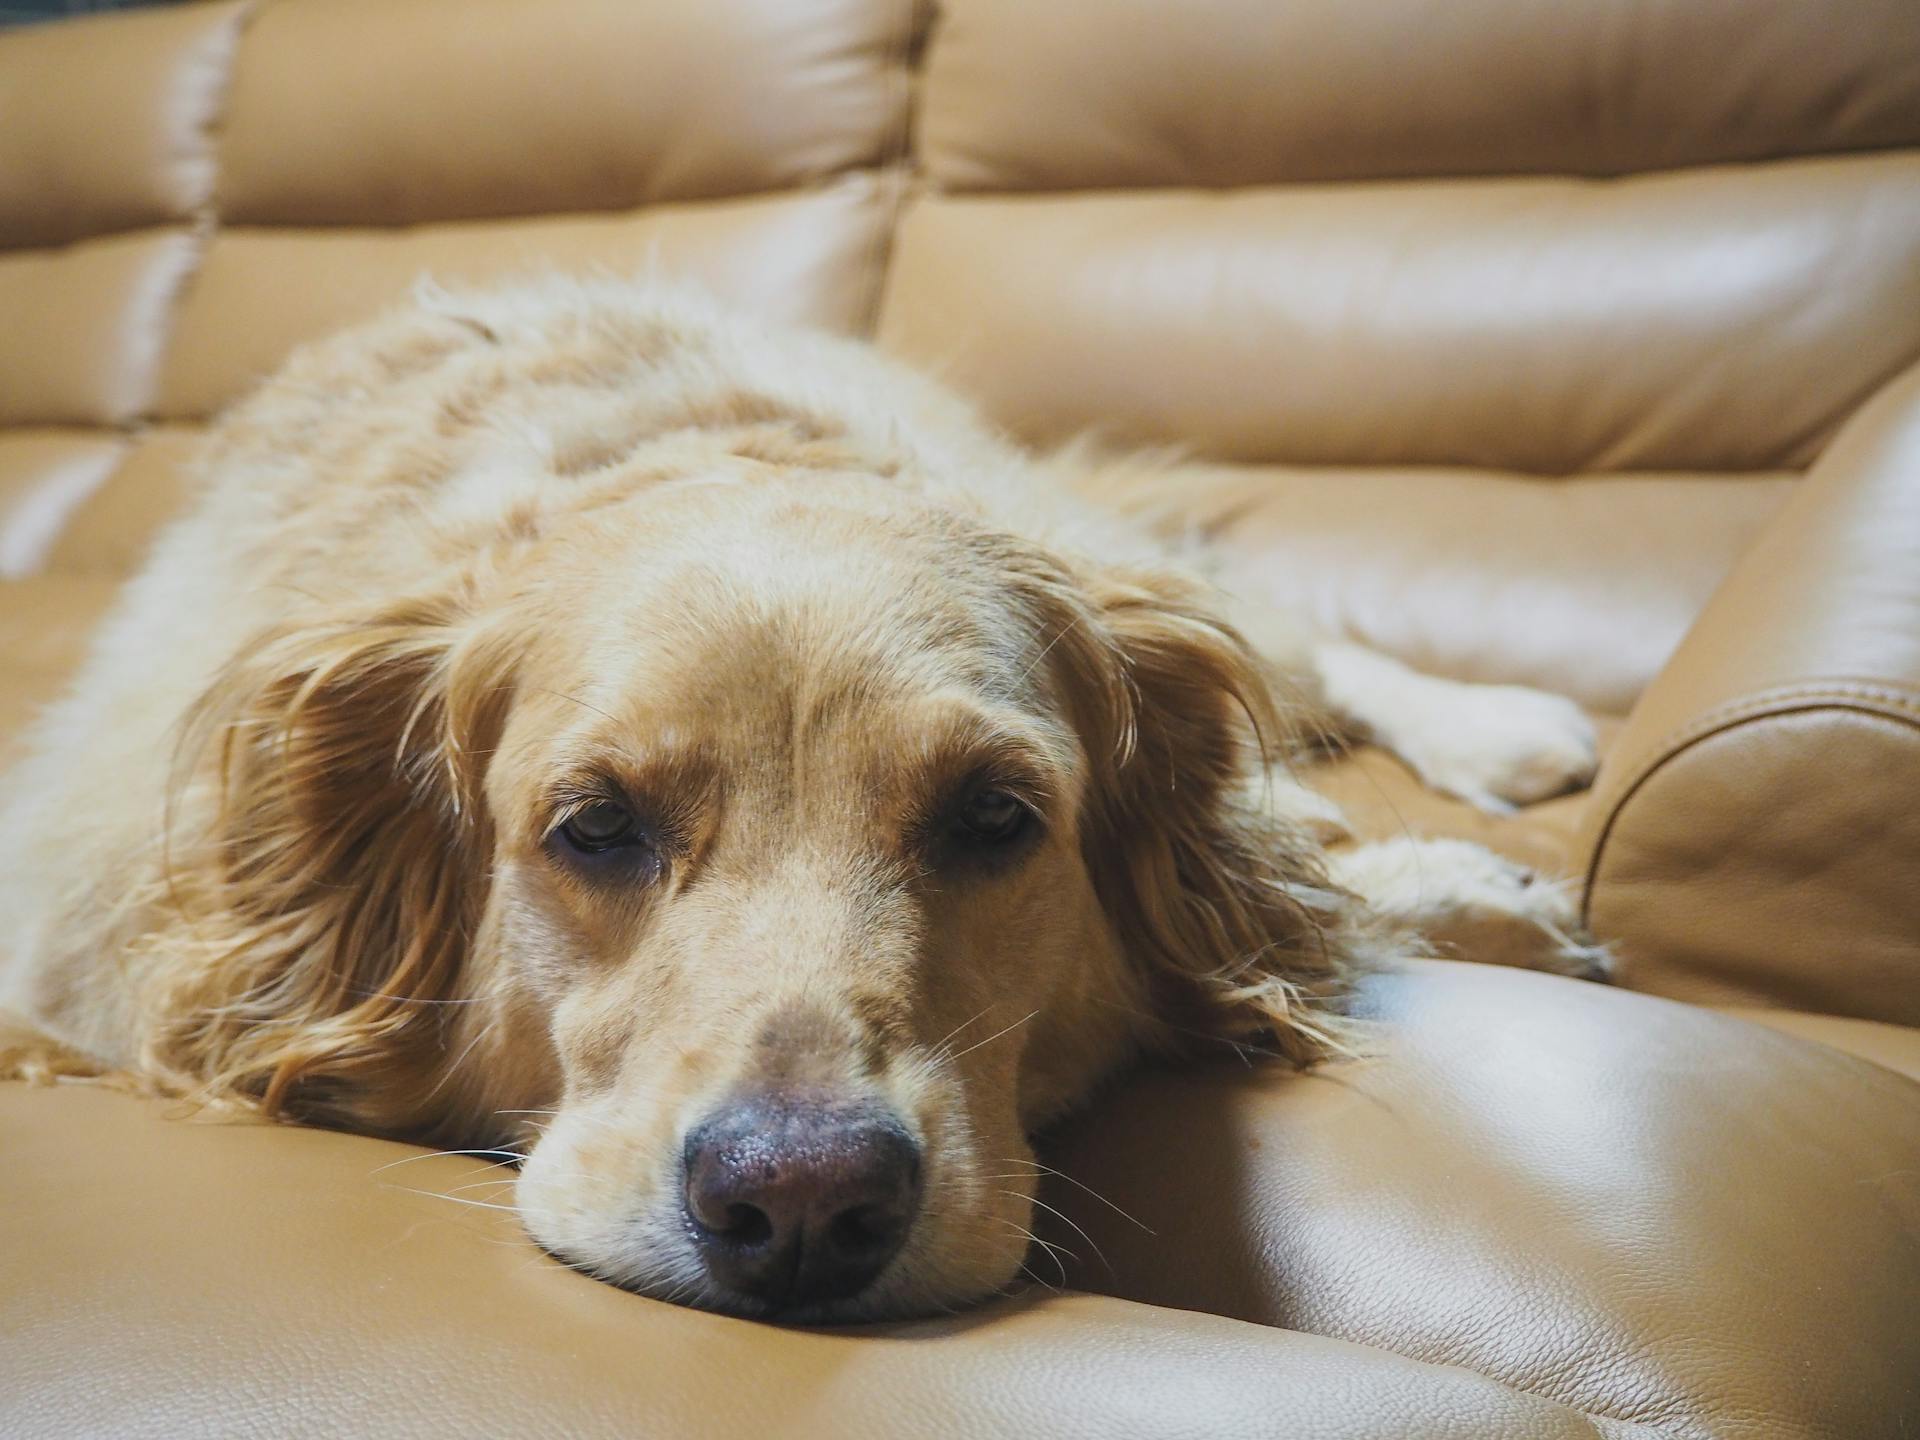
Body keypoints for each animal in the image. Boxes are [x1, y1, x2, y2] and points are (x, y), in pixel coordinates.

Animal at [0, 276, 1605, 1328]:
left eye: (995, 819)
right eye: (594, 828)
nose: (804, 1207)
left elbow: (1295, 877)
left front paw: (1473, 891)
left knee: (1304, 655)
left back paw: (1505, 732)